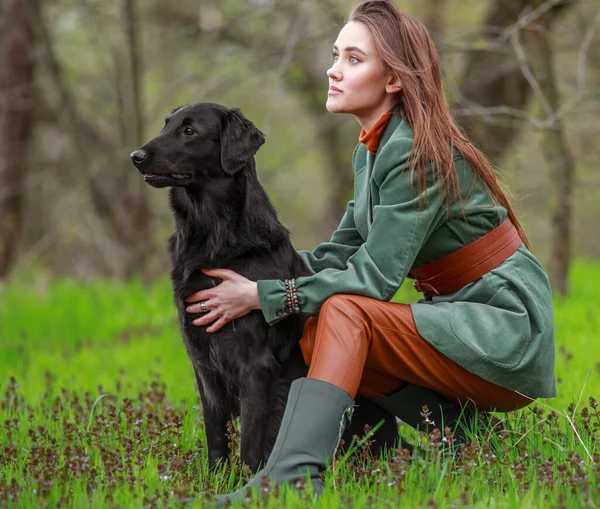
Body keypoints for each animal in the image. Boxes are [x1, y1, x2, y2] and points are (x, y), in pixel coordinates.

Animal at [130, 103, 398, 472]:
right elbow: (217, 437)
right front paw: (215, 480)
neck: (213, 235)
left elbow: (250, 443)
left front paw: (250, 480)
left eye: (189, 131)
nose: (135, 156)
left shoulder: (255, 364)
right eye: (165, 126)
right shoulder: (203, 363)